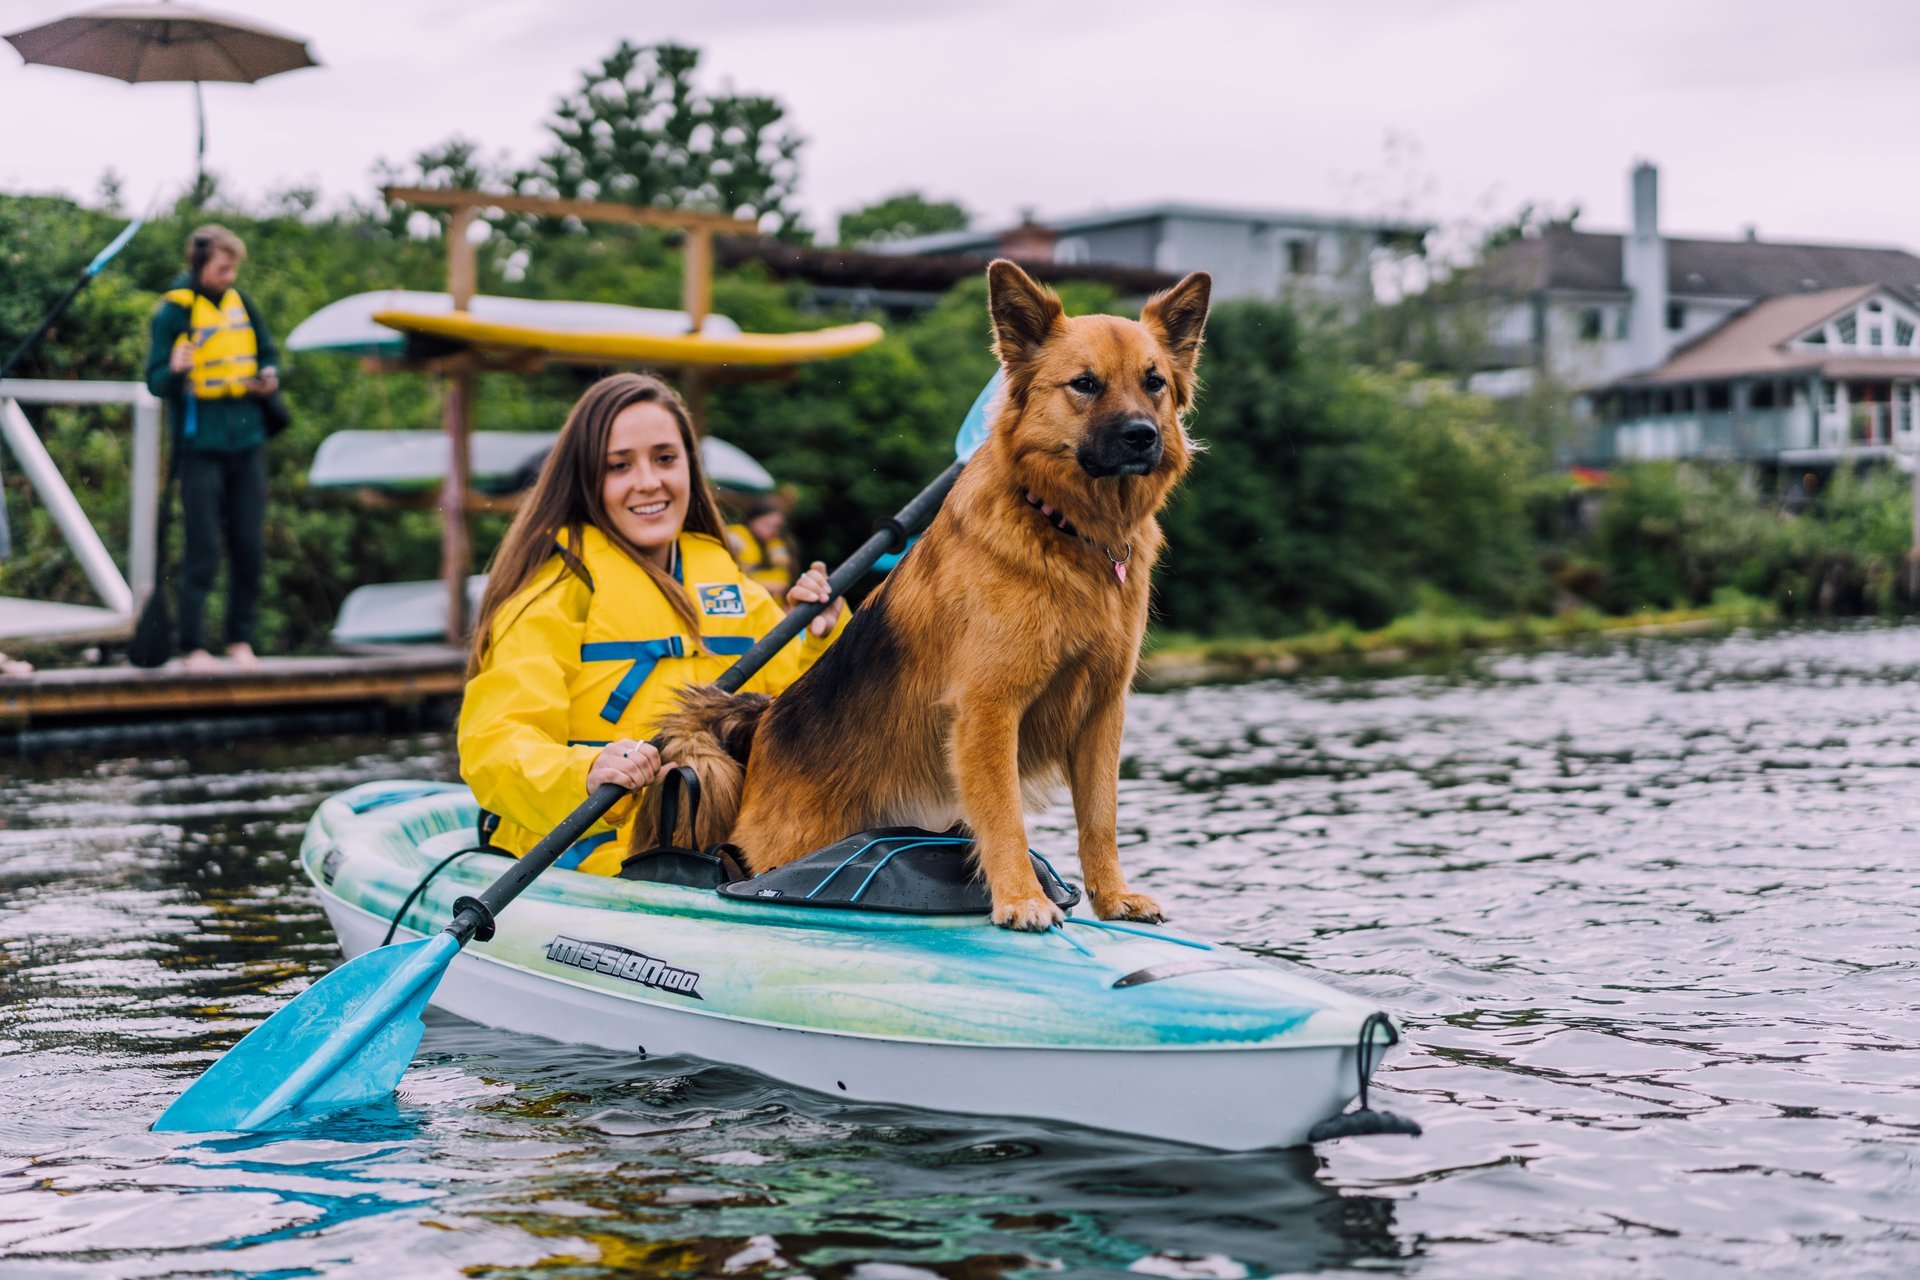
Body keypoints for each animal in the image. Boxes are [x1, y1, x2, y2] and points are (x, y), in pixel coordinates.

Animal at [652, 257, 1205, 932]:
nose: (1142, 435)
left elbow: (1101, 816)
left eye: (1154, 383)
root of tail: (761, 722)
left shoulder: (1103, 712)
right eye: (1084, 383)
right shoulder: (988, 711)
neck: (1063, 528)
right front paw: (1022, 898)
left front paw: (1111, 897)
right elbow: (1004, 815)